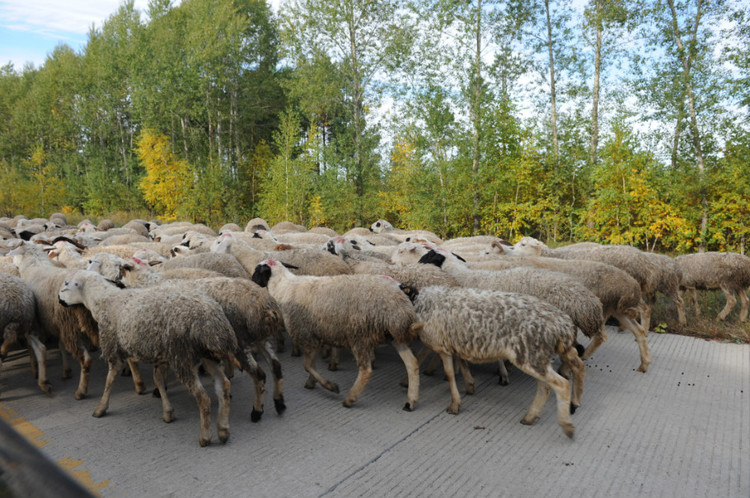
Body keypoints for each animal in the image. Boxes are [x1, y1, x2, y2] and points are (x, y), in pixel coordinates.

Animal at [58, 270, 238, 450]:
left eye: (67, 284)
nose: (59, 299)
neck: (104, 301)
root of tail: (212, 322)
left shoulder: (113, 348)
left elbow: (109, 381)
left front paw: (101, 408)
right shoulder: (158, 353)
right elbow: (158, 380)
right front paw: (167, 412)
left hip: (183, 356)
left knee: (203, 397)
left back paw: (205, 437)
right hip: (206, 355)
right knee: (224, 386)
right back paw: (223, 430)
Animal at [250, 258, 420, 410]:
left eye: (257, 272)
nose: (251, 282)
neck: (284, 287)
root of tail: (401, 306)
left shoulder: (307, 335)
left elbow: (307, 366)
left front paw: (330, 386)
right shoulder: (315, 334)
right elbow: (311, 365)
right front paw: (311, 382)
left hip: (360, 335)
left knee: (366, 370)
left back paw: (350, 398)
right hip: (394, 335)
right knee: (412, 364)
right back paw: (410, 401)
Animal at [414, 286, 584, 438]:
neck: (420, 302)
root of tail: (563, 326)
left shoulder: (442, 346)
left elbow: (449, 375)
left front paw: (454, 404)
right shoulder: (455, 343)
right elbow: (461, 363)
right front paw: (469, 385)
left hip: (529, 355)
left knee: (561, 384)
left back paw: (566, 425)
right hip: (539, 355)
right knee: (561, 375)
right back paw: (533, 416)